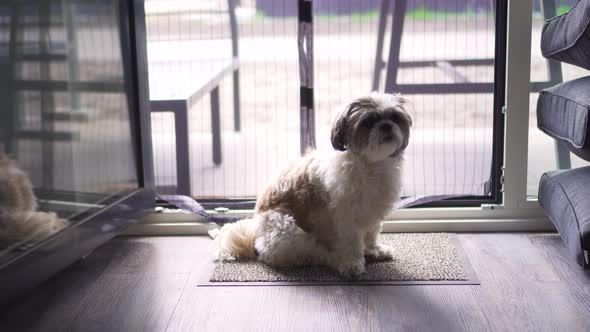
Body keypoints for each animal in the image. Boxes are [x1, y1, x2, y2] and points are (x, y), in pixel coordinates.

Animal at [215, 92, 414, 278]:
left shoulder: (373, 213)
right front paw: (352, 263)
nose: (386, 125)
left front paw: (374, 251)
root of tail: (256, 239)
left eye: (395, 117)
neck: (371, 165)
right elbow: (351, 242)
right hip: (288, 230)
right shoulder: (346, 217)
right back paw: (334, 258)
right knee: (312, 255)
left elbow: (371, 234)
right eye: (369, 121)